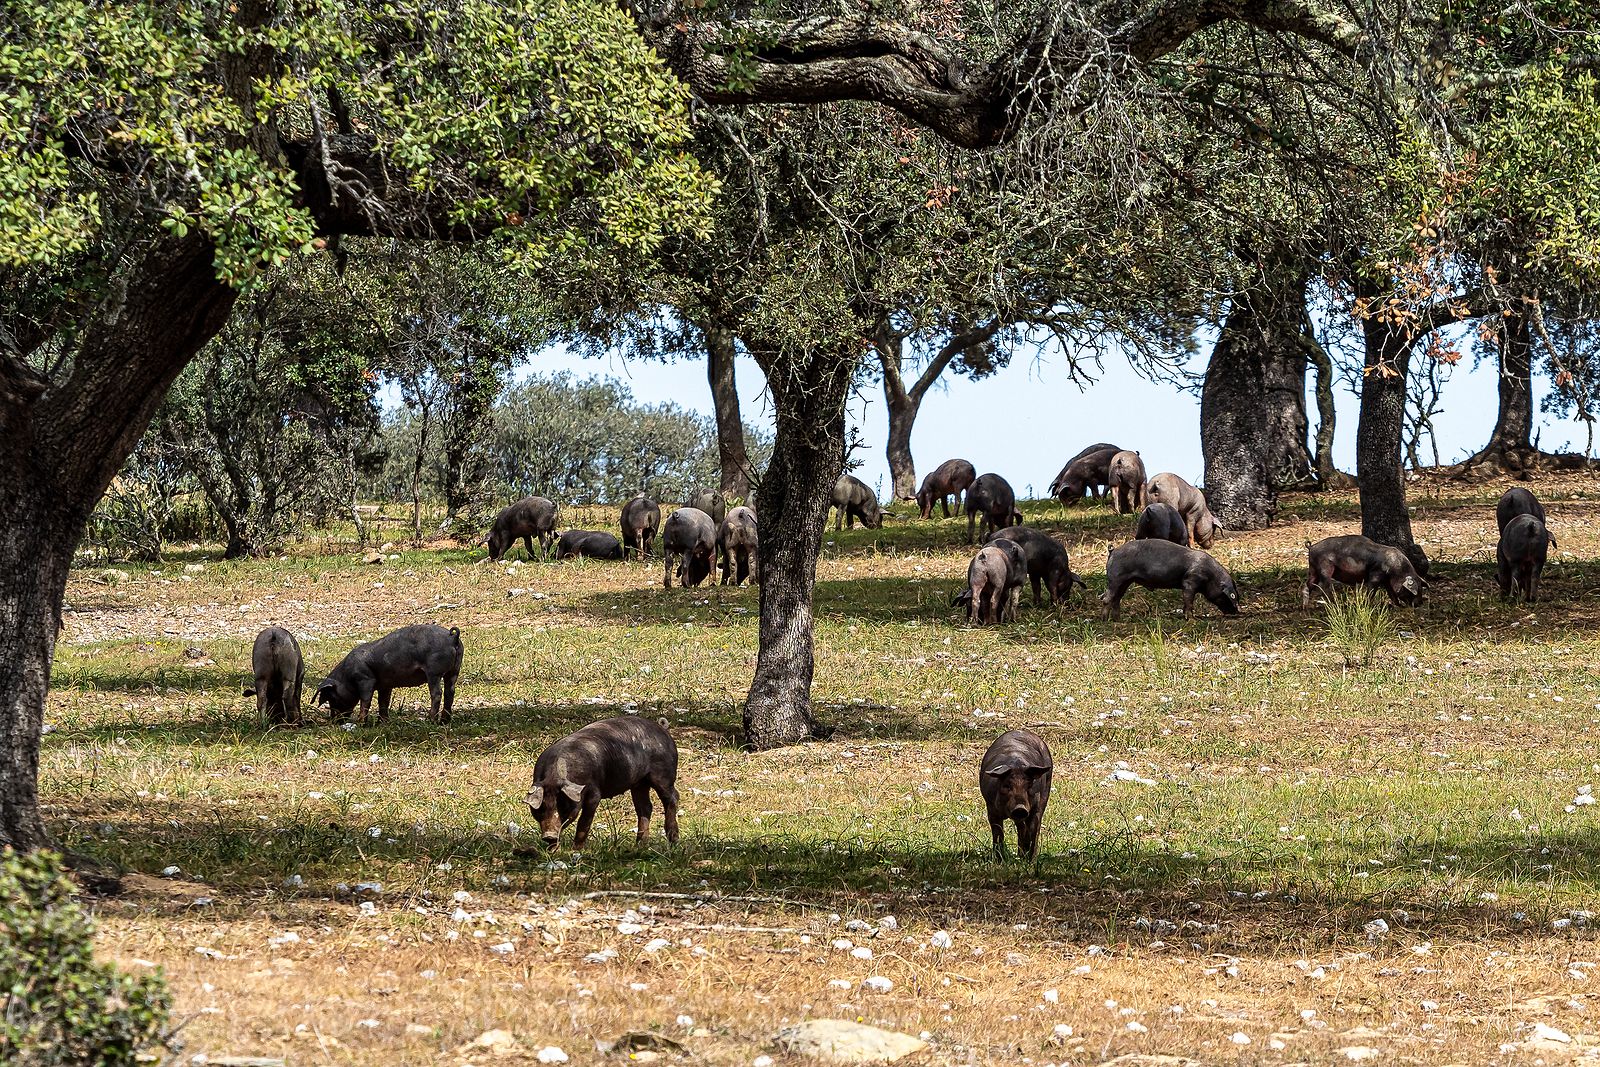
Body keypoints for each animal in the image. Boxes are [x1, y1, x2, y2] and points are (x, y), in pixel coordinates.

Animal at [312, 627, 464, 726]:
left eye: (332, 697)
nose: (334, 721)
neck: (346, 677)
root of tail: (452, 637)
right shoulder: (385, 686)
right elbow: (383, 702)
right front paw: (382, 723)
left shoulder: (365, 679)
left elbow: (365, 700)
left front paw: (361, 723)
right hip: (454, 671)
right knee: (450, 692)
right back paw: (444, 722)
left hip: (434, 672)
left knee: (437, 693)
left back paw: (430, 721)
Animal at [521, 716, 678, 851]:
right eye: (541, 808)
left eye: (563, 805)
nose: (549, 835)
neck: (554, 776)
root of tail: (662, 728)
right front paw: (552, 850)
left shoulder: (594, 792)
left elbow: (584, 821)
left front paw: (576, 850)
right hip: (639, 783)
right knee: (645, 807)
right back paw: (639, 845)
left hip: (664, 774)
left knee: (672, 797)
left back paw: (673, 841)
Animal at [972, 729, 1049, 863]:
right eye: (1007, 785)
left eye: (1029, 785)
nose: (1020, 808)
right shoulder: (991, 809)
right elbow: (998, 834)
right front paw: (999, 861)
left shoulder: (1034, 808)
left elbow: (1033, 831)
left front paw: (1030, 862)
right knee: (1021, 827)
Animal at [1107, 537, 1241, 620]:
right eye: (1226, 596)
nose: (1236, 612)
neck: (1211, 577)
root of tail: (1113, 551)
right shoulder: (1189, 581)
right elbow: (1188, 600)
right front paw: (1192, 619)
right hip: (1115, 577)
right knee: (1107, 597)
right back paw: (1105, 619)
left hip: (1125, 581)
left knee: (1115, 598)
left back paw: (1117, 619)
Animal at [1305, 534, 1433, 607]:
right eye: (1413, 591)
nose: (1419, 603)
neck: (1396, 569)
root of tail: (1312, 547)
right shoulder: (1376, 574)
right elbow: (1372, 589)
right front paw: (1368, 604)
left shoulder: (1386, 580)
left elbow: (1391, 592)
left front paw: (1398, 606)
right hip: (1324, 567)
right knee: (1324, 586)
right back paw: (1334, 604)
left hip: (1313, 568)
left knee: (1307, 585)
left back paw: (1304, 607)